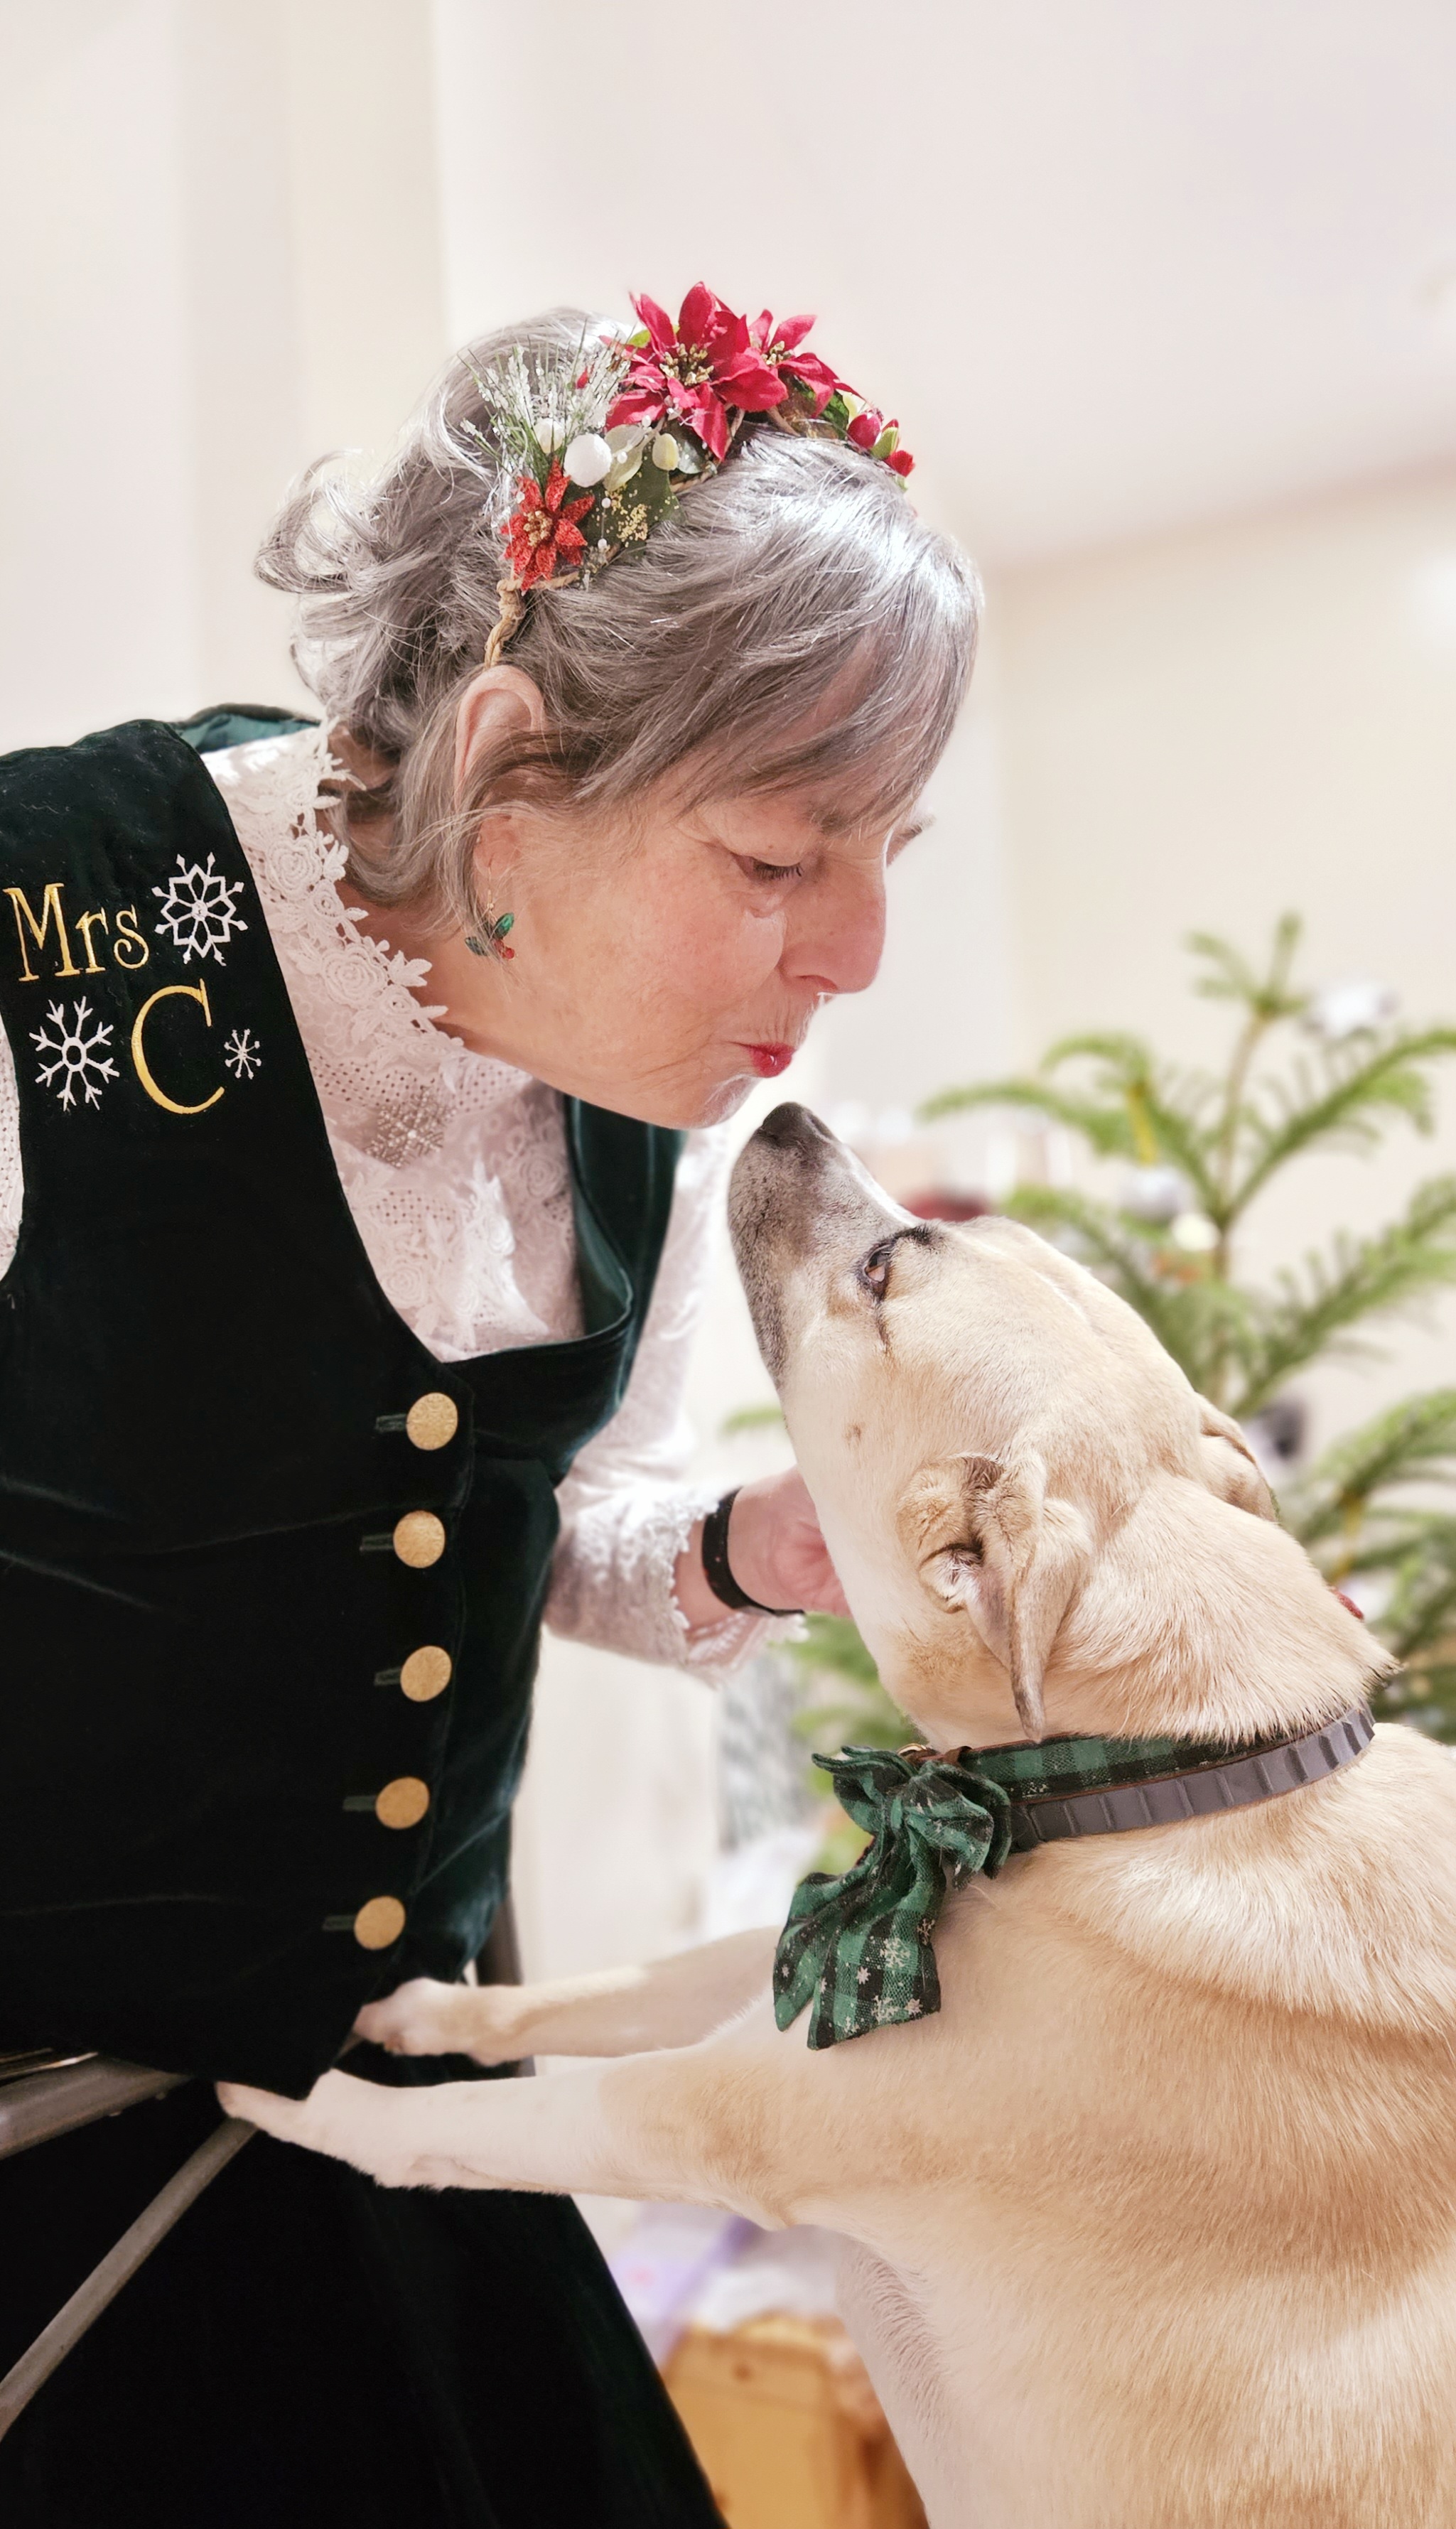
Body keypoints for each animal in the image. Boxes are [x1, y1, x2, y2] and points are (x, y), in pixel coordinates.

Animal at [222, 1112, 1456, 2529]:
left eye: (881, 1269)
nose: (787, 1116)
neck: (1148, 1774)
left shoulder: (709, 2106)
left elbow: (461, 2126)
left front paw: (286, 2089)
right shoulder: (798, 1946)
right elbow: (590, 1992)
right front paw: (416, 2011)